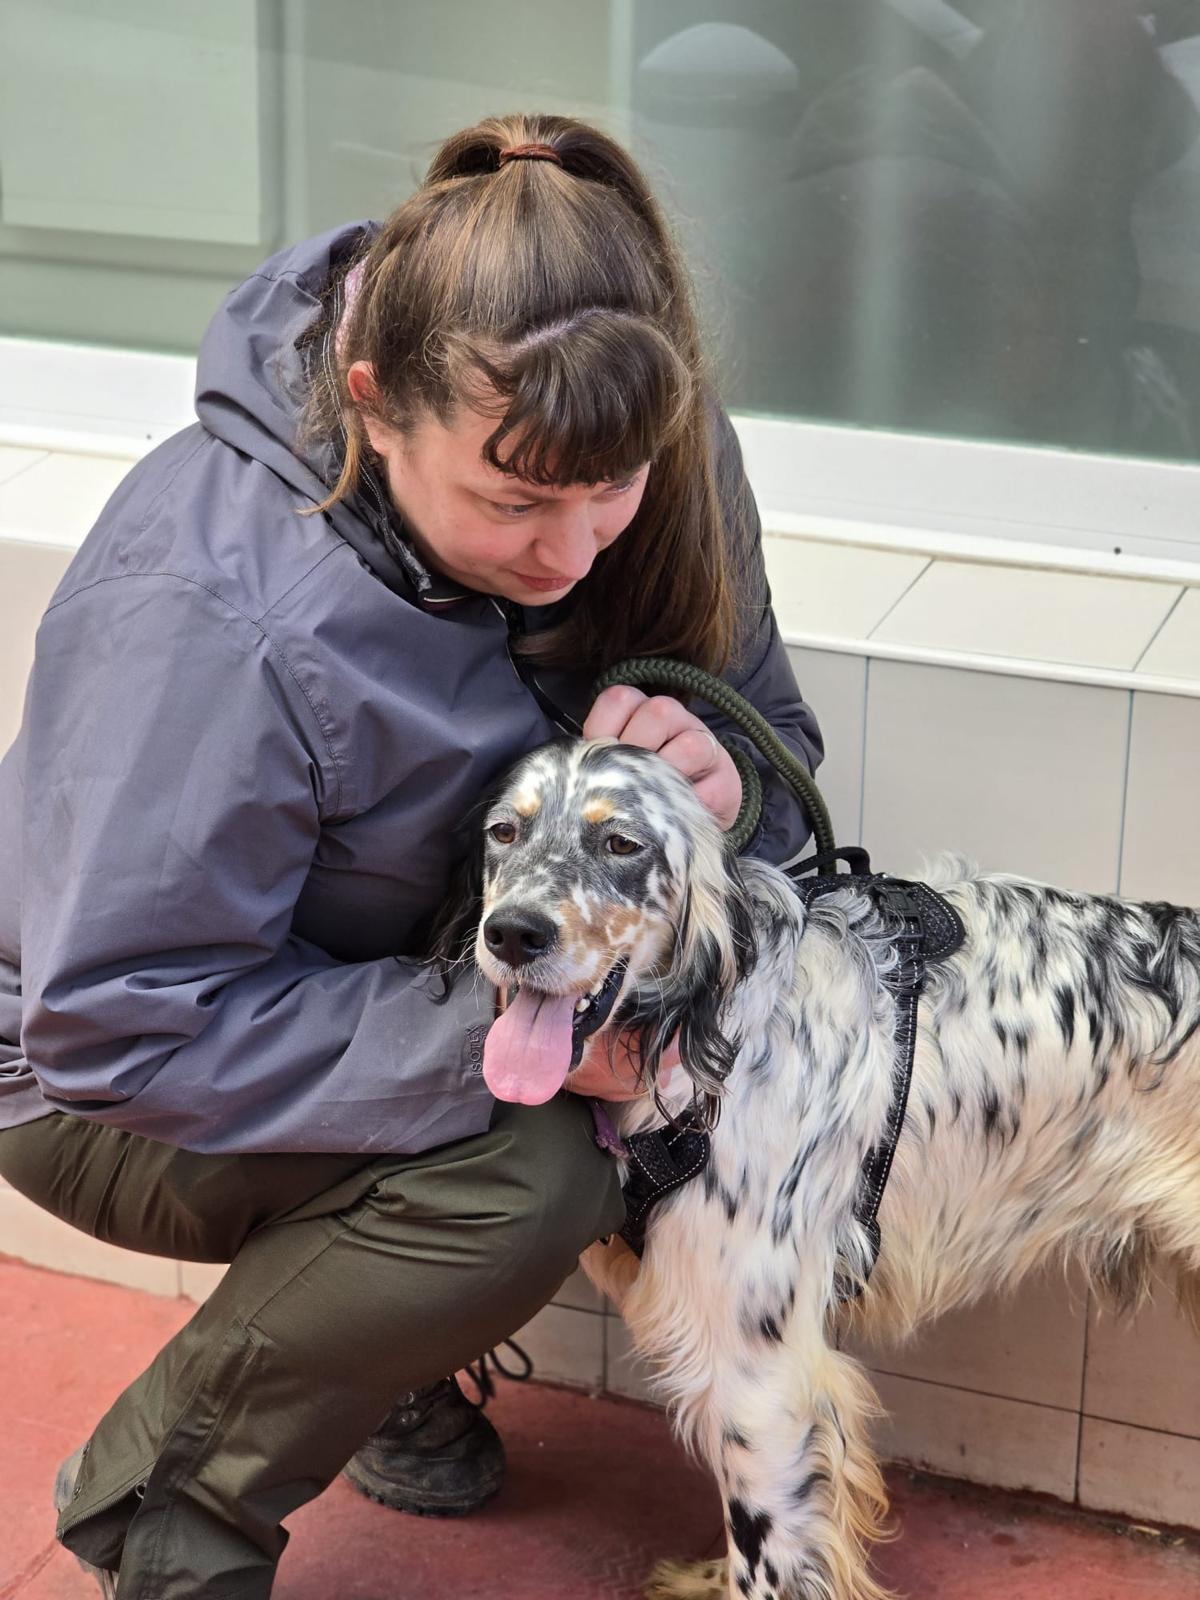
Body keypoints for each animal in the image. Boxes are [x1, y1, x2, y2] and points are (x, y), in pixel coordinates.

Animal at [431, 735, 1200, 1600]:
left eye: (621, 844)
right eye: (504, 832)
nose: (513, 934)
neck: (710, 1039)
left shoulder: (760, 1378)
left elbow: (766, 1551)